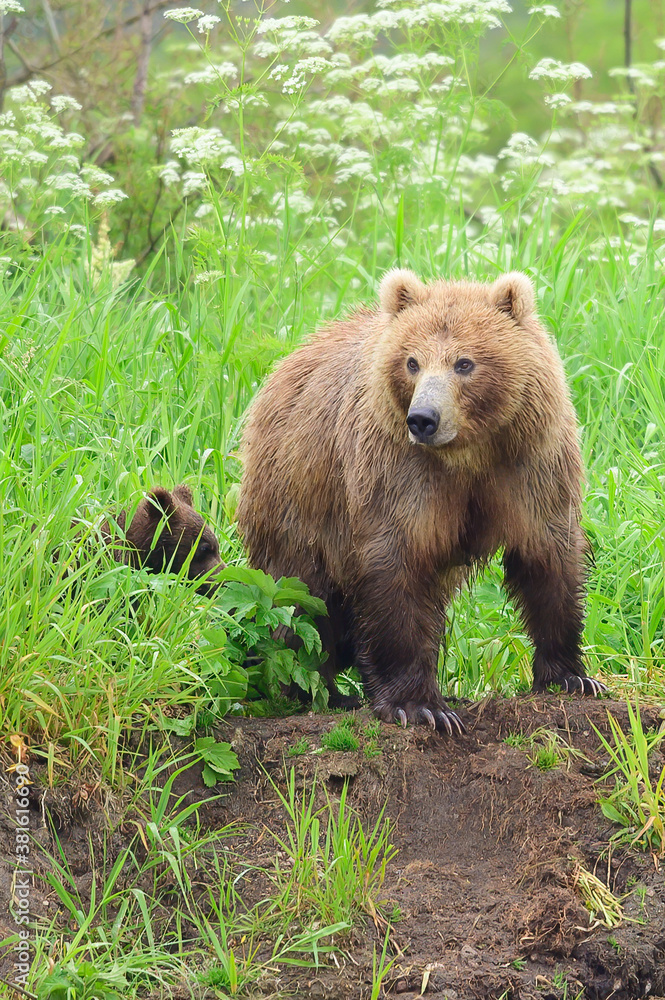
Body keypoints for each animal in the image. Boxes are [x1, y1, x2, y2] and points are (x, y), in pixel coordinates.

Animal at [237, 270, 605, 734]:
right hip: (299, 502)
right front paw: (421, 706)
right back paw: (315, 689)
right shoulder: (399, 473)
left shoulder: (529, 465)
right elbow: (396, 568)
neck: (470, 454)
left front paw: (572, 676)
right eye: (412, 362)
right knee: (301, 601)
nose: (423, 418)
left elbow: (548, 556)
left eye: (464, 362)